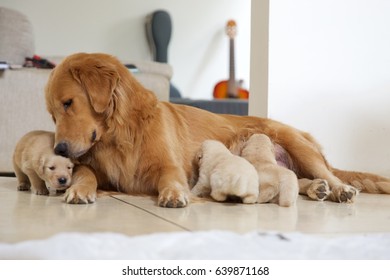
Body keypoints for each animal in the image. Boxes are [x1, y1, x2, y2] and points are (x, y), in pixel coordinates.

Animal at [44, 52, 390, 207]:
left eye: (68, 103)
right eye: (52, 115)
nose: (59, 149)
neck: (120, 133)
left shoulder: (169, 165)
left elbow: (170, 178)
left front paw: (173, 194)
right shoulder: (95, 167)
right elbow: (86, 174)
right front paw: (79, 189)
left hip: (298, 145)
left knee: (332, 176)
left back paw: (338, 189)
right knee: (297, 179)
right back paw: (316, 188)